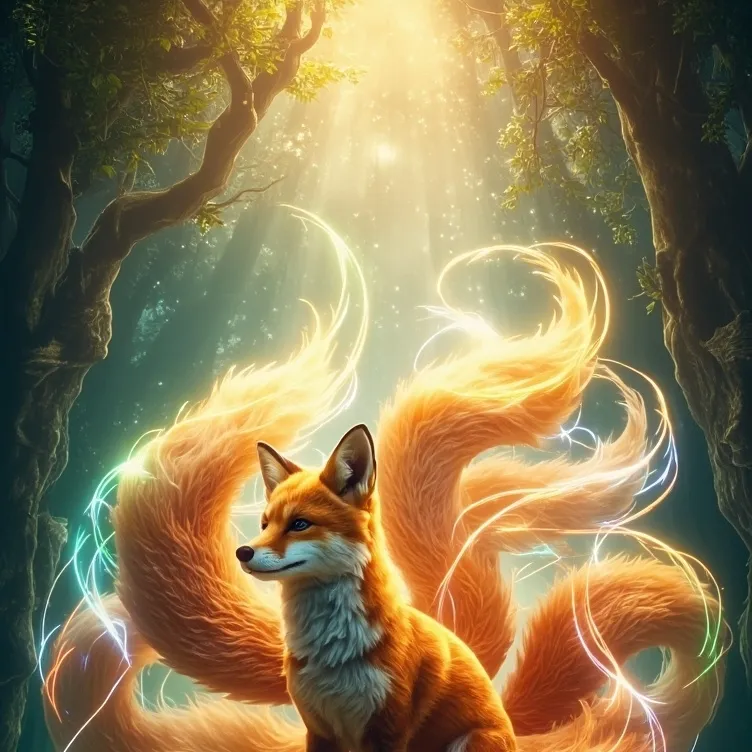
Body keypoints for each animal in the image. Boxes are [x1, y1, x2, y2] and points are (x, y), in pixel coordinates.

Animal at [42, 244, 726, 752]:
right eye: (263, 522)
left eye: (300, 524)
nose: (242, 554)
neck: (335, 657)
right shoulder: (318, 730)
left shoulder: (387, 729)